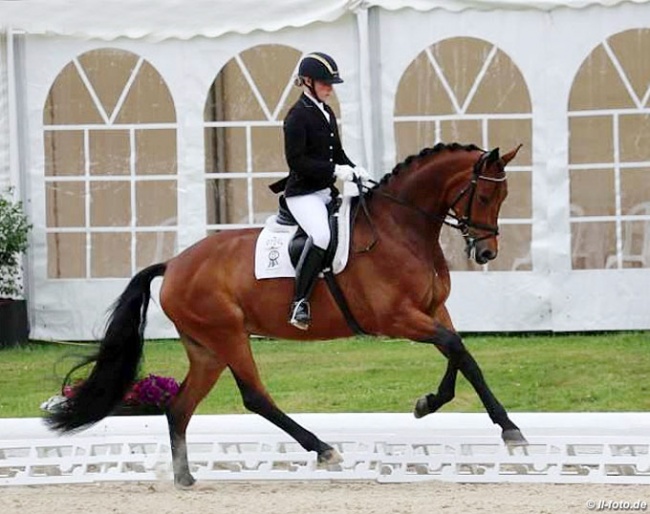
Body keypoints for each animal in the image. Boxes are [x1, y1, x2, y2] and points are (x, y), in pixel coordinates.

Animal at [45, 141, 524, 484]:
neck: (401, 228)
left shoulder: (433, 309)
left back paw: (185, 478)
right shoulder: (396, 319)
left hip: (206, 348)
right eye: (485, 193)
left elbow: (459, 355)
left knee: (179, 406)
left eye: (504, 195)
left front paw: (430, 404)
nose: (486, 252)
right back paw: (323, 449)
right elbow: (456, 349)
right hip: (228, 336)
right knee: (255, 397)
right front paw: (509, 430)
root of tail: (174, 263)